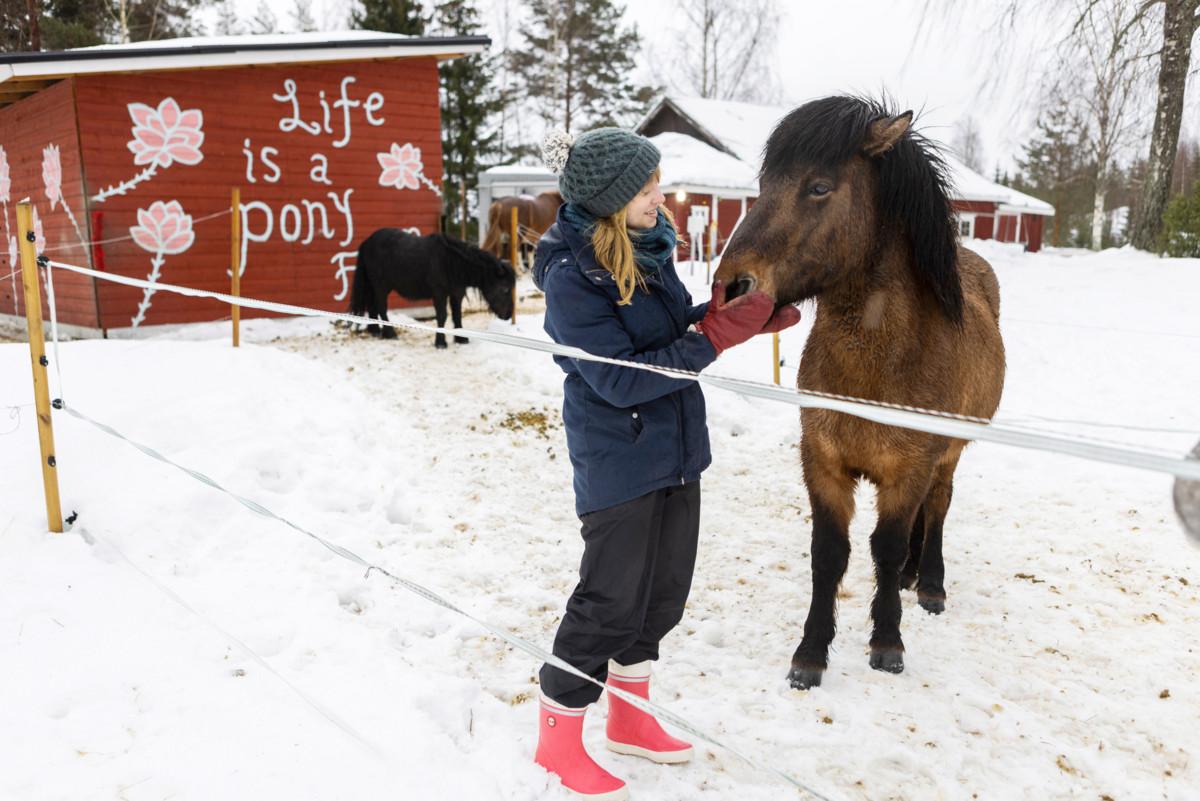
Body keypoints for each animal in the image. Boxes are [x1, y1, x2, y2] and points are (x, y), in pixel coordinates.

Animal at [350, 227, 513, 347]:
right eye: (505, 289)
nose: (508, 315)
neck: (452, 263)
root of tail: (367, 242)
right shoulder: (439, 294)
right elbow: (442, 316)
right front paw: (440, 342)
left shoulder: (456, 294)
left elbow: (457, 315)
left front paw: (461, 339)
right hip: (381, 286)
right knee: (381, 308)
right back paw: (390, 333)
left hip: (374, 286)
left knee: (373, 307)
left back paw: (376, 331)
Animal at [715, 95, 1008, 690]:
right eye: (765, 182)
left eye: (819, 187)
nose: (733, 287)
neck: (874, 374)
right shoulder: (823, 463)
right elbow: (830, 553)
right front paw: (810, 652)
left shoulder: (910, 469)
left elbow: (887, 548)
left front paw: (887, 641)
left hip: (949, 455)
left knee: (938, 507)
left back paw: (929, 582)